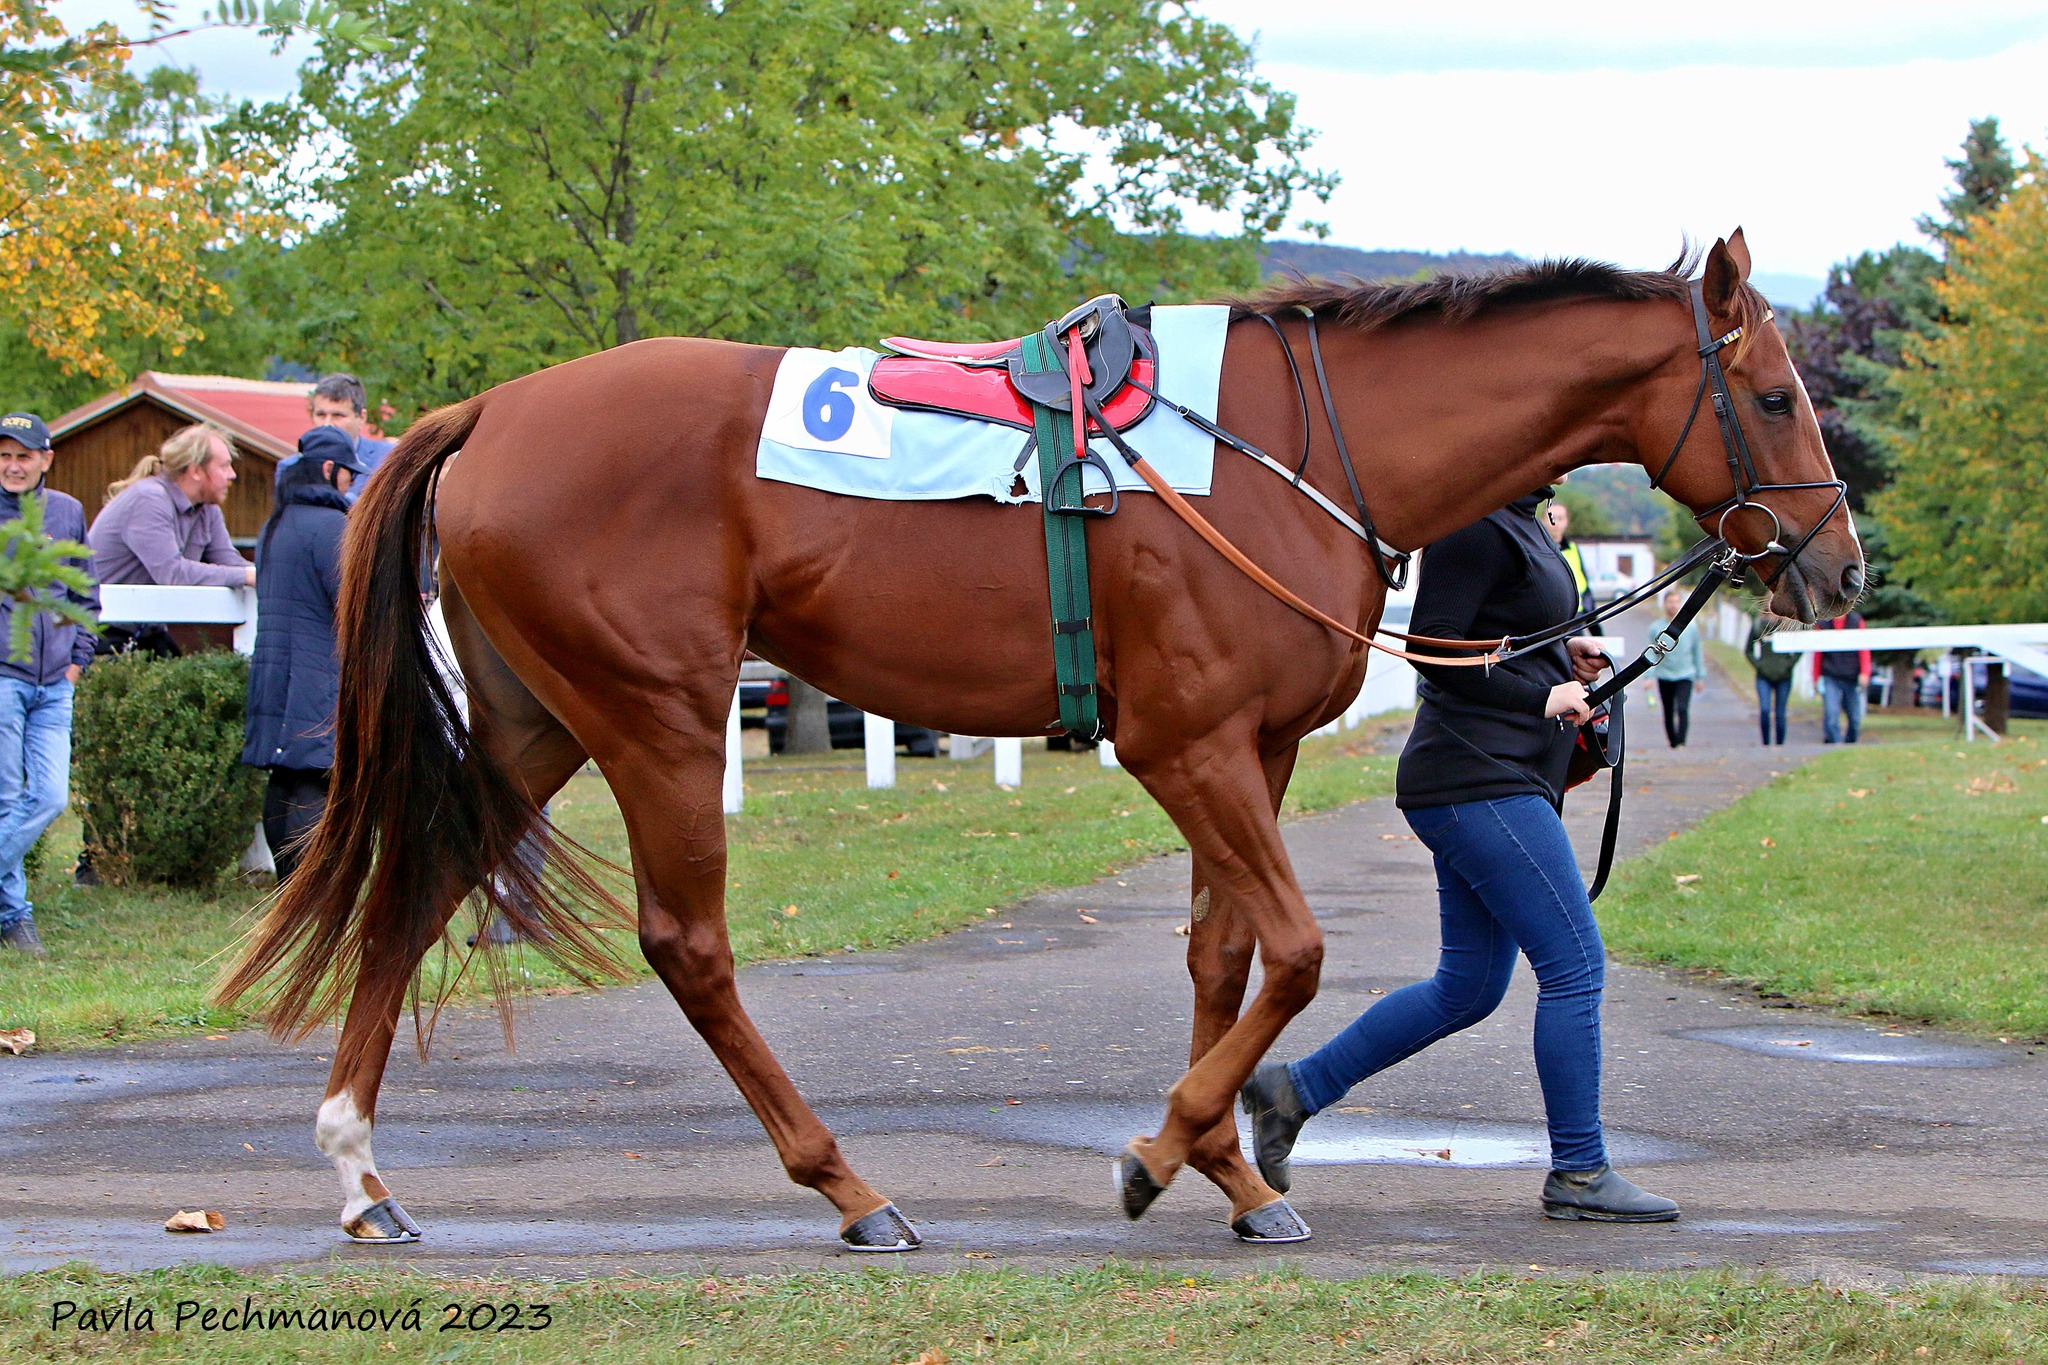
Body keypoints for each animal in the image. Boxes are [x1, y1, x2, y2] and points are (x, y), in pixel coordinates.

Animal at [216, 232, 1867, 1252]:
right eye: (1775, 392)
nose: (1838, 565)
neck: (1290, 447)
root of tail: (491, 413)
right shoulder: (1185, 745)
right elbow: (1299, 948)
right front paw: (1165, 1149)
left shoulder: (1251, 748)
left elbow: (1225, 954)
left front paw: (1231, 1169)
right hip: (656, 718)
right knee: (687, 944)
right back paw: (848, 1186)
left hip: (535, 721)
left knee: (419, 890)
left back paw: (365, 1174)